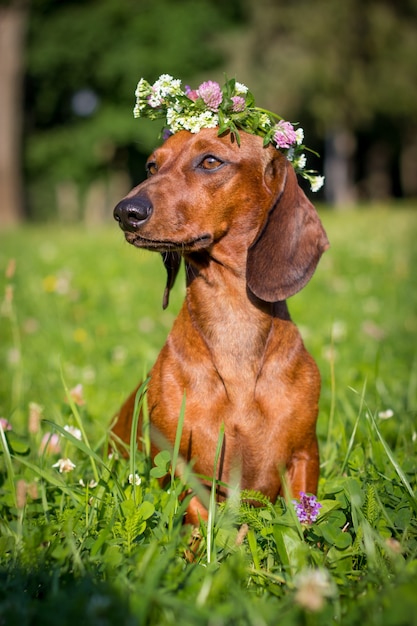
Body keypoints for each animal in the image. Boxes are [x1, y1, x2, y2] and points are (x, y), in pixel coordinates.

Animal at [113, 128, 328, 520]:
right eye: (152, 165)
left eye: (210, 161)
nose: (125, 211)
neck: (234, 323)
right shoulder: (181, 468)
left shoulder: (305, 457)